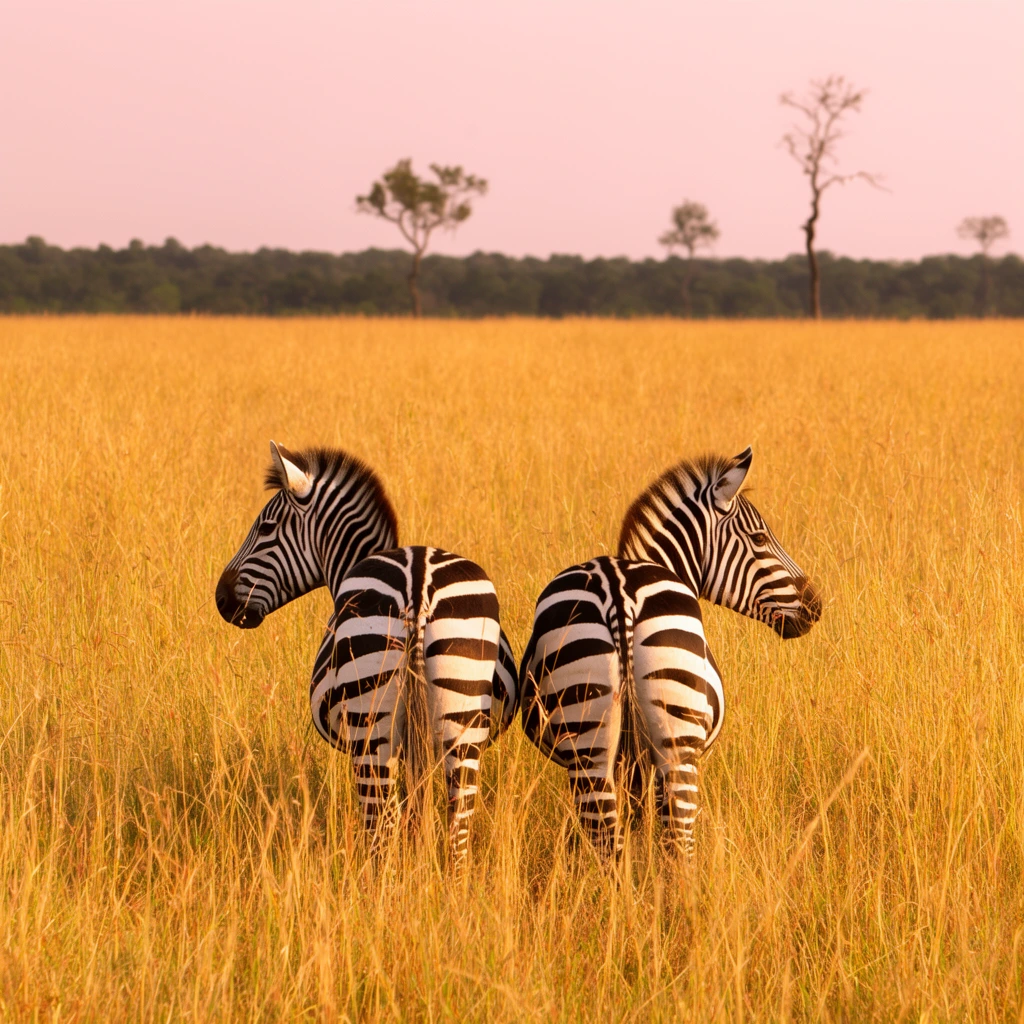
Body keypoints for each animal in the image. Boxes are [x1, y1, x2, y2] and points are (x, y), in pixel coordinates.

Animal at [216, 442, 517, 864]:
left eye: (265, 528)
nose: (221, 599)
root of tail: (417, 584)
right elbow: (418, 811)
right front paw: (420, 861)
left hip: (370, 730)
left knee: (380, 833)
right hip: (463, 724)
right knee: (457, 833)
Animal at [519, 447, 821, 857]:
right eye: (759, 538)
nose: (815, 605)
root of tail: (617, 590)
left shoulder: (628, 763)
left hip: (588, 746)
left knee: (607, 844)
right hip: (678, 745)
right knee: (679, 843)